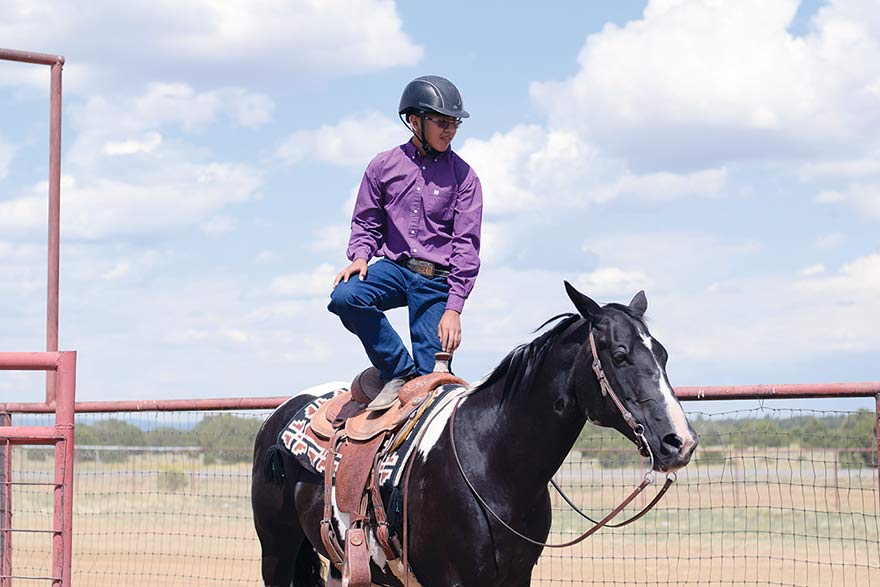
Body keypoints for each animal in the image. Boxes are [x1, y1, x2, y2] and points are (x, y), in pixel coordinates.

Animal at [251, 282, 696, 584]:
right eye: (620, 355)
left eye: (663, 354)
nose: (680, 441)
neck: (492, 463)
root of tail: (280, 416)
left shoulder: (517, 578)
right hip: (276, 551)